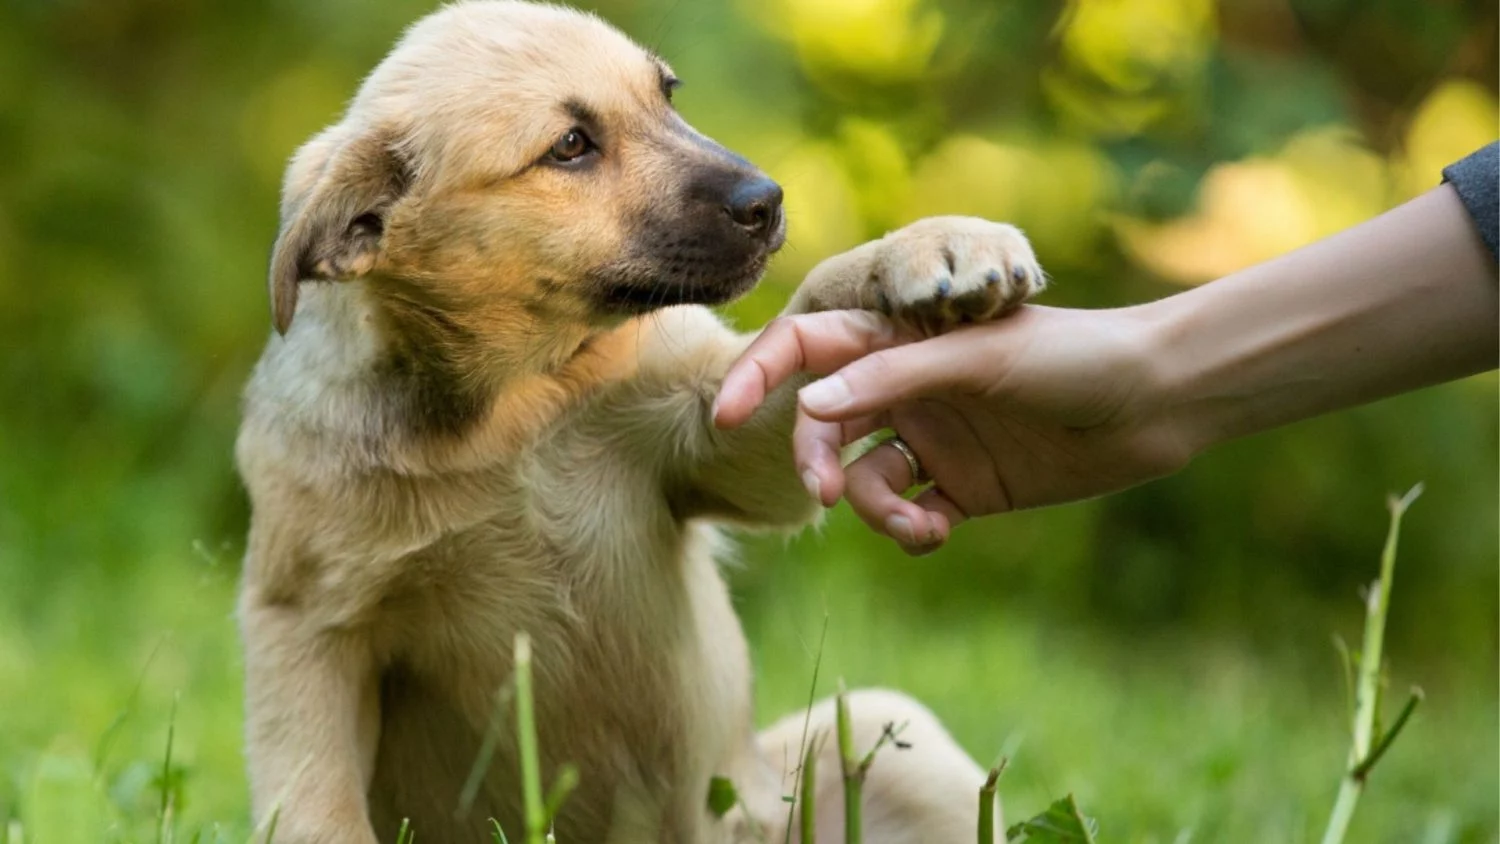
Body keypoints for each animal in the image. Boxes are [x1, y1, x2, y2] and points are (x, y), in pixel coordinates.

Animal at [240, 3, 1050, 839]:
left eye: (666, 94)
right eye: (570, 145)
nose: (767, 201)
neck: (516, 408)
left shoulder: (718, 432)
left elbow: (810, 310)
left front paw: (925, 248)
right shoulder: (305, 625)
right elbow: (318, 807)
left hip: (887, 745)